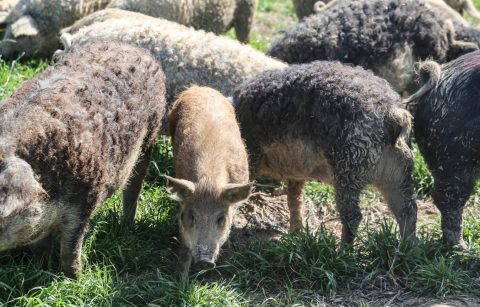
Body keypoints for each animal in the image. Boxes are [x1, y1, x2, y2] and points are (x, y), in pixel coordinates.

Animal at [0, 41, 167, 280]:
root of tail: (133, 47)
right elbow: (41, 245)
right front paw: (38, 267)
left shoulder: (86, 198)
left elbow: (71, 247)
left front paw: (75, 277)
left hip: (151, 134)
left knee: (134, 185)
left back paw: (128, 226)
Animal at [232, 62, 416, 245]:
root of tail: (393, 115)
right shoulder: (295, 174)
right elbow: (295, 198)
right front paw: (295, 235)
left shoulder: (251, 157)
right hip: (399, 173)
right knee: (408, 209)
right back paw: (407, 248)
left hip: (348, 169)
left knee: (353, 215)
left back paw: (344, 250)